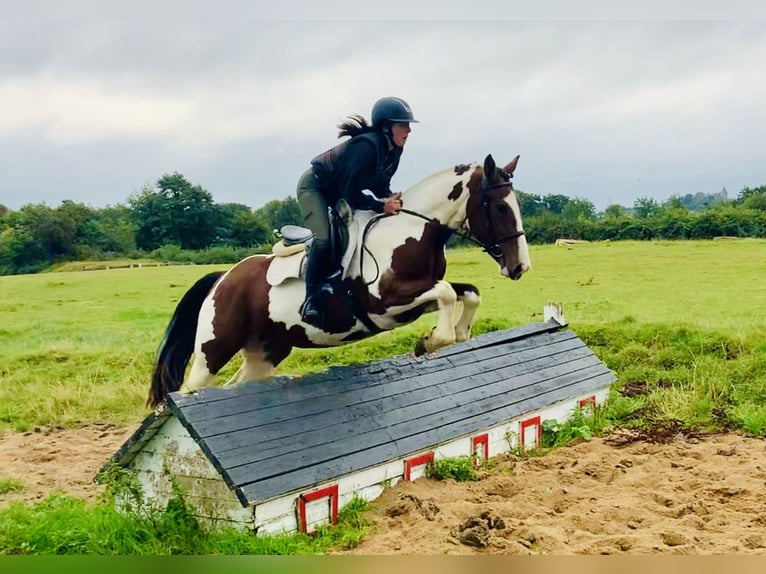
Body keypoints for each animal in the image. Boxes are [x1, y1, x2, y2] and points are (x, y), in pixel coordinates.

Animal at [148, 155, 536, 412]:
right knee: (190, 389)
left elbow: (467, 293)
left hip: (267, 351)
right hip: (213, 349)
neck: (411, 230)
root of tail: (223, 278)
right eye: (500, 208)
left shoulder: (417, 295)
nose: (520, 266)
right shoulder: (385, 303)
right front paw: (431, 341)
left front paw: (458, 333)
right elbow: (445, 293)